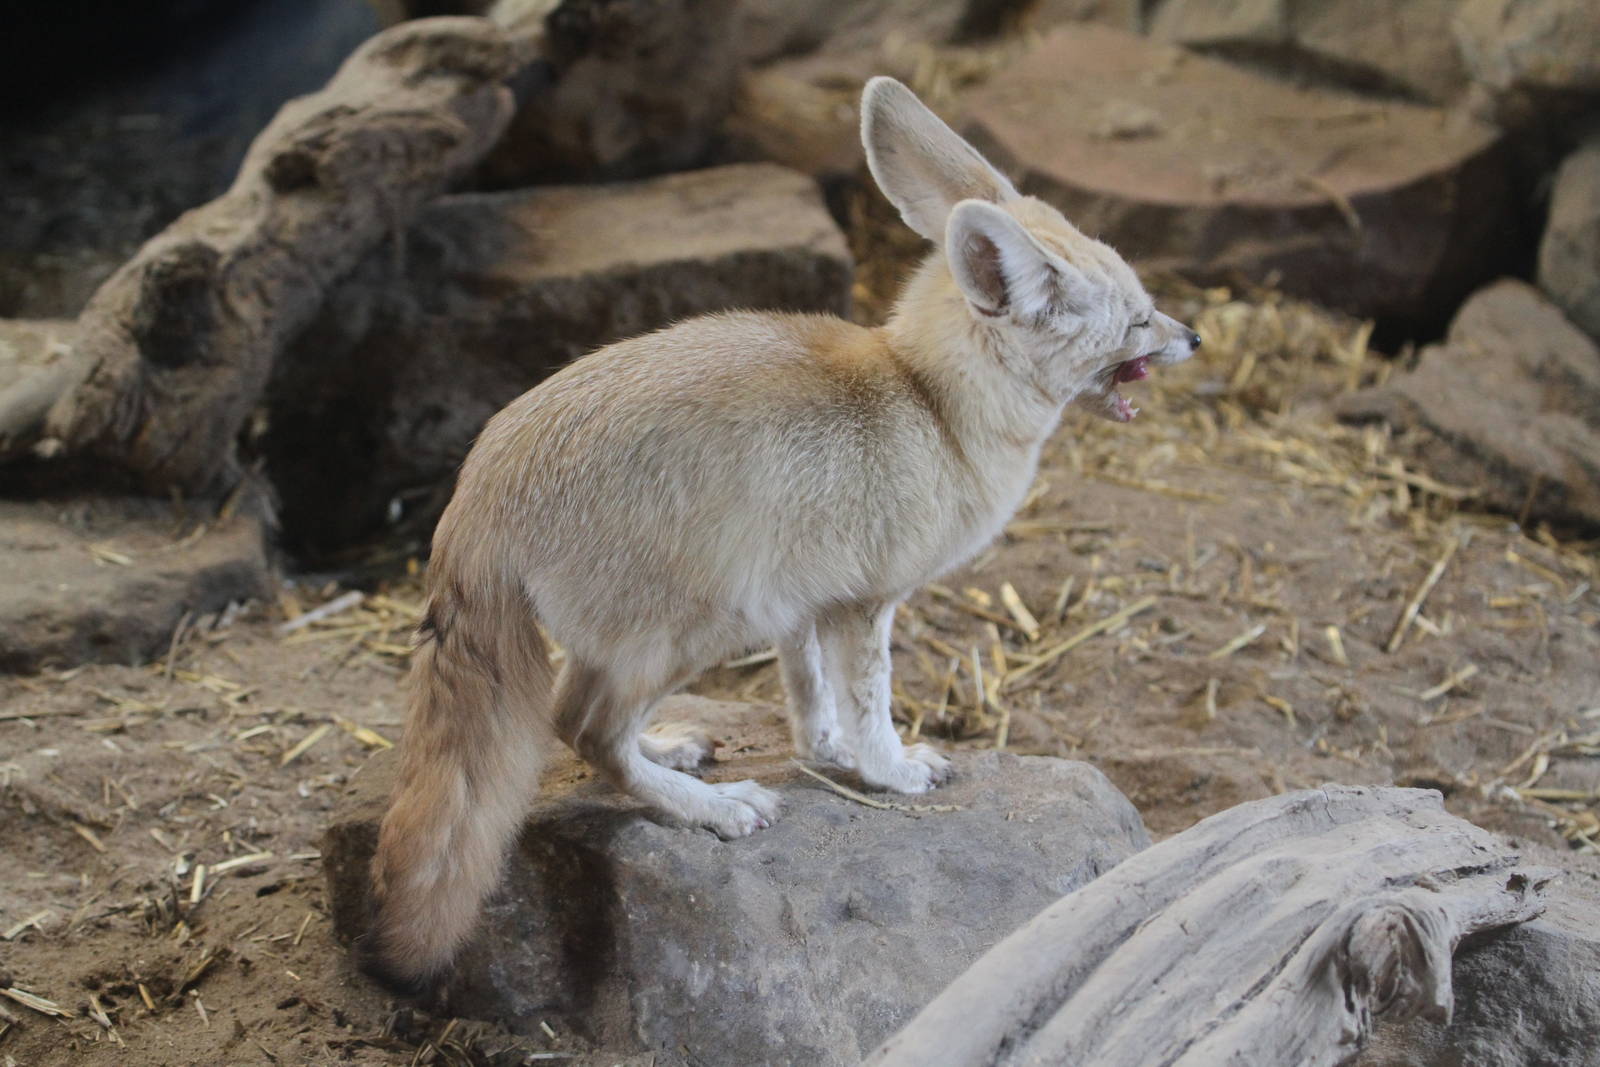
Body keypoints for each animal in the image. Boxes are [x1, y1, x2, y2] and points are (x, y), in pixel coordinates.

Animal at [361, 75, 1200, 993]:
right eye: (1139, 321)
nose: (1195, 335)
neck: (928, 396)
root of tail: (477, 487)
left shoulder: (807, 600)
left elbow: (809, 693)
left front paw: (824, 749)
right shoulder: (867, 603)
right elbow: (872, 702)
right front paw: (891, 770)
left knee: (583, 723)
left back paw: (672, 751)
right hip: (695, 628)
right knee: (578, 726)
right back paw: (714, 809)